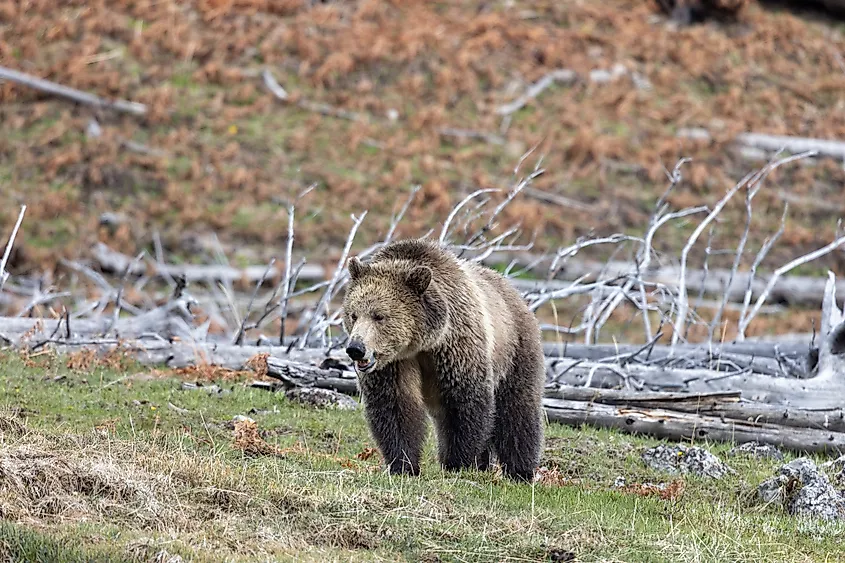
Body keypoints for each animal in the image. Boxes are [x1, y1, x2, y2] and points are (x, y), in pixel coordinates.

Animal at [341, 237, 546, 482]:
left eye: (379, 316)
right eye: (353, 314)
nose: (355, 348)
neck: (422, 342)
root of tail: (514, 291)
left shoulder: (456, 347)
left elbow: (462, 404)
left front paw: (458, 462)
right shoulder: (395, 364)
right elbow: (395, 406)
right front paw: (403, 464)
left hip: (515, 350)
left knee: (517, 410)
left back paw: (520, 470)